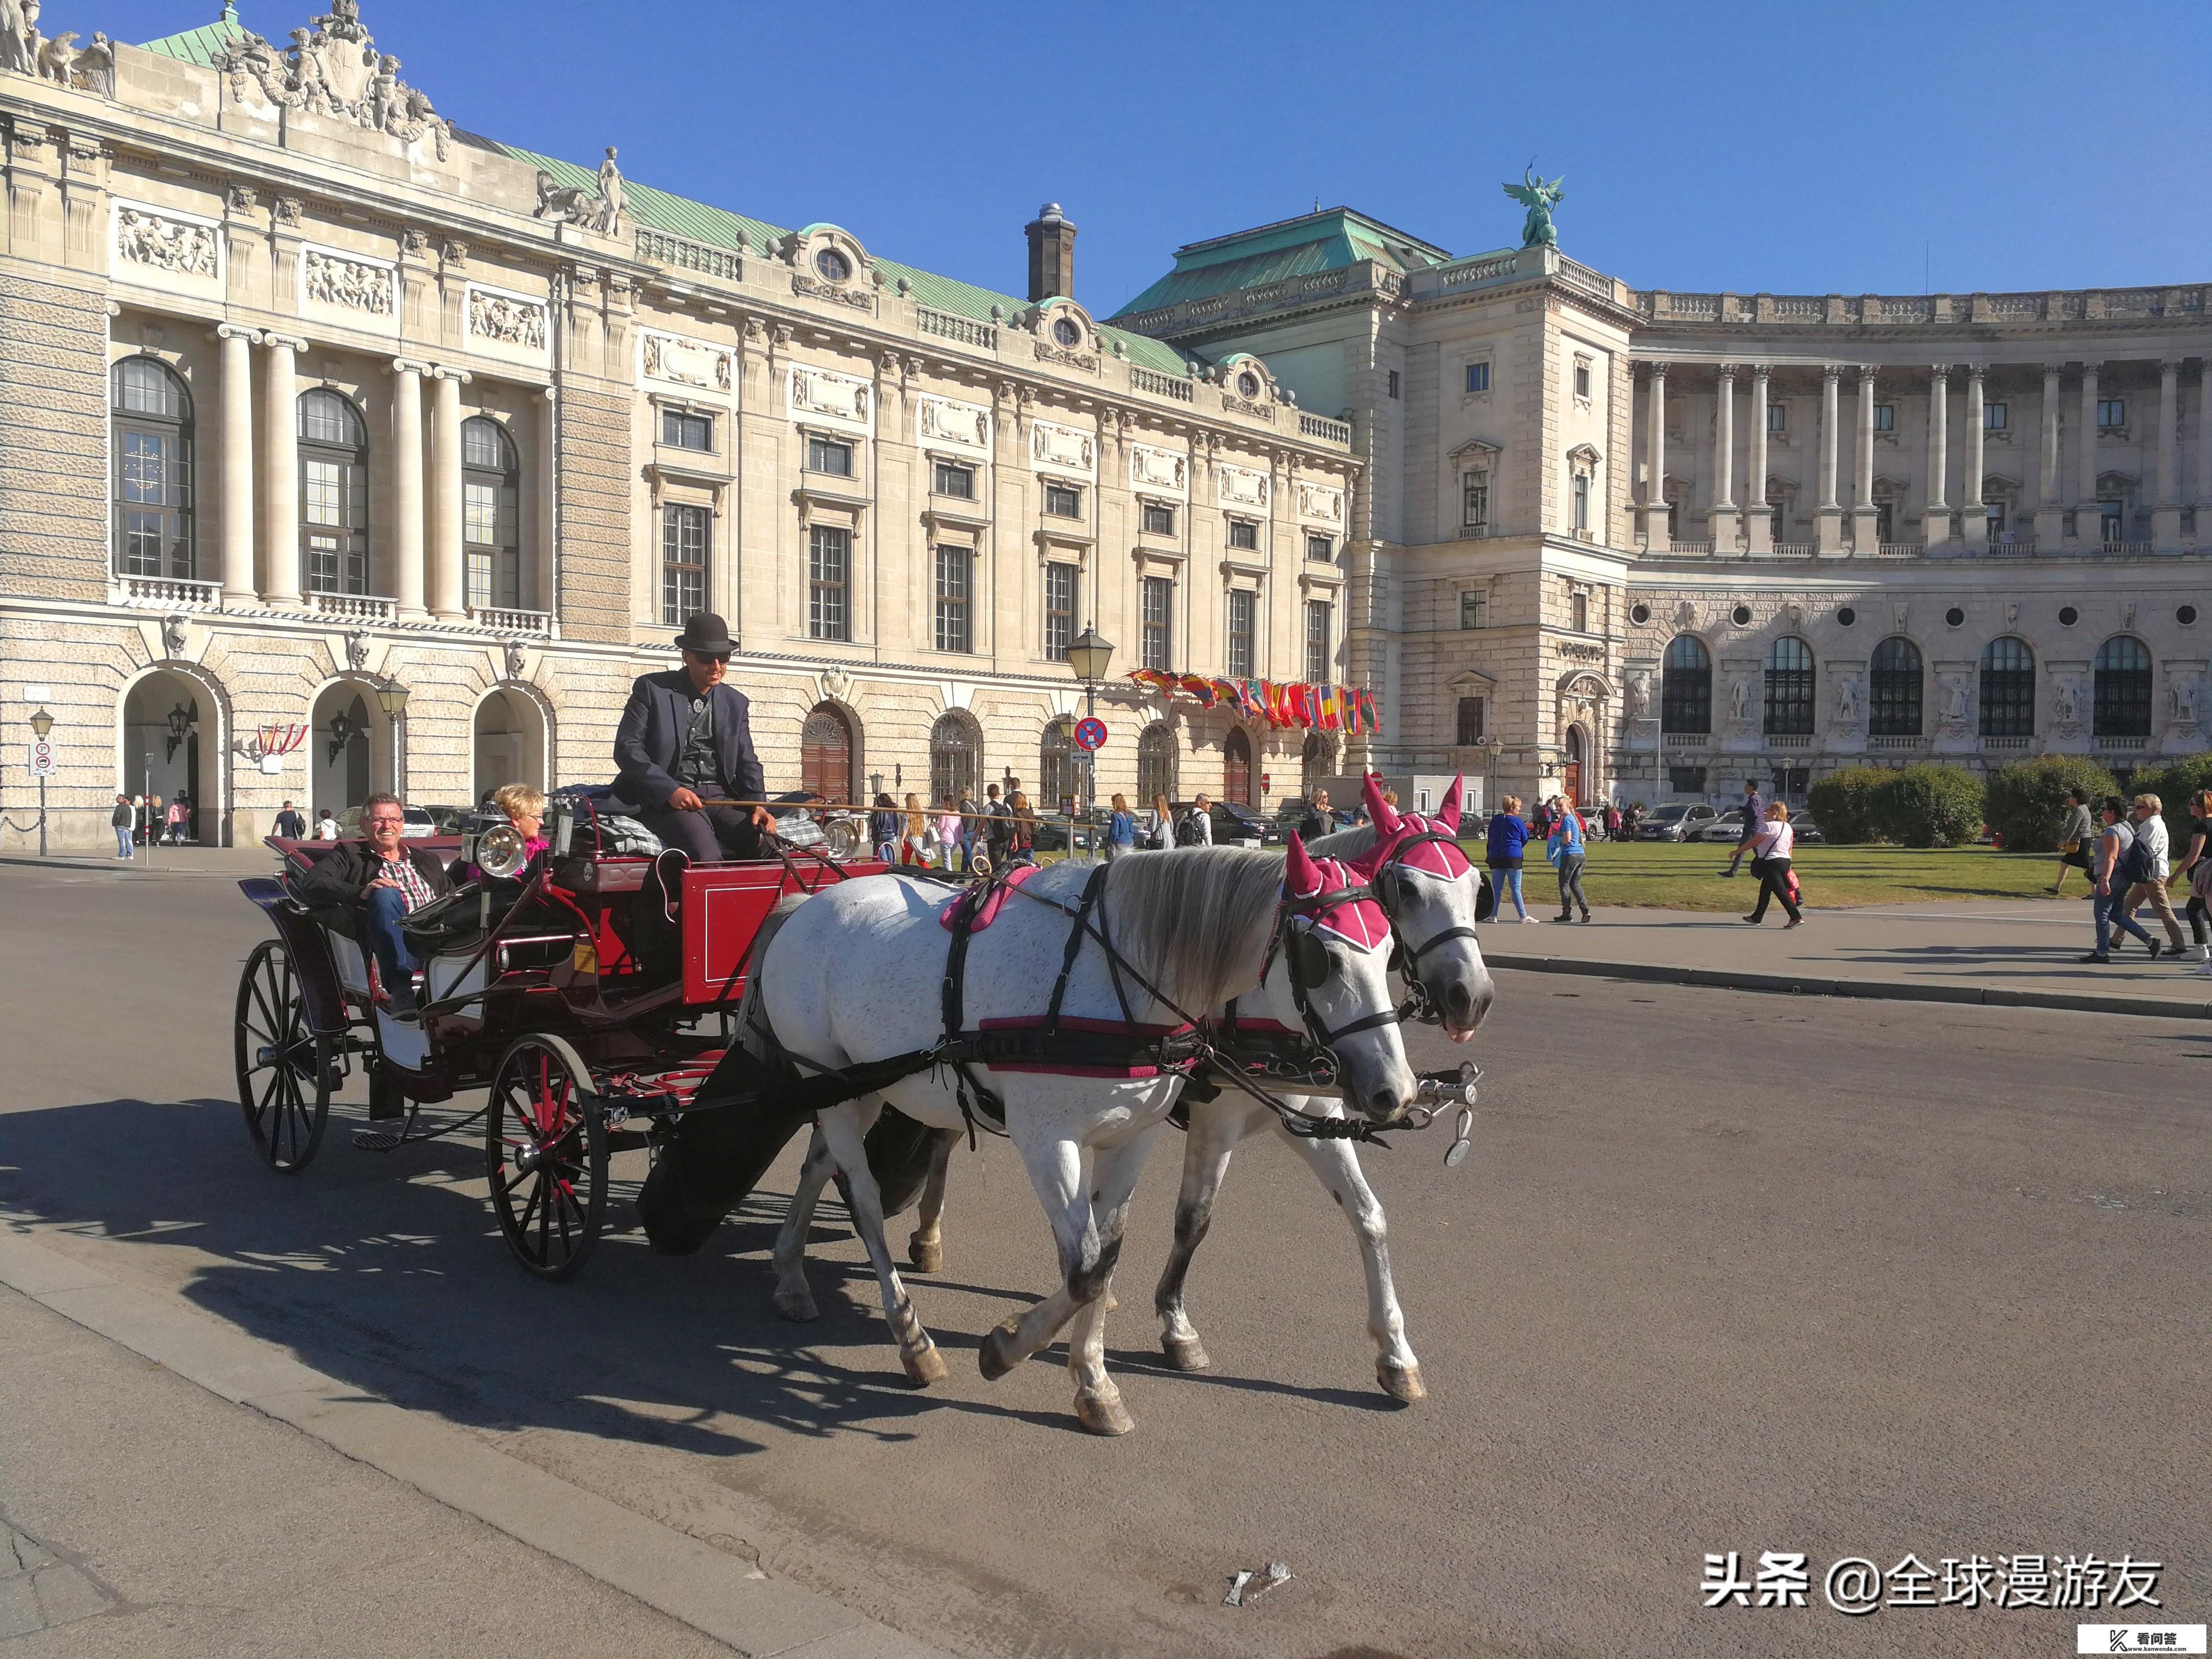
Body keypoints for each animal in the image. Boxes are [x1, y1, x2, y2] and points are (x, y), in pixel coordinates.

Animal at [760, 836, 1406, 1433]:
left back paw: (791, 1275)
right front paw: (1010, 1349)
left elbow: (1109, 1253)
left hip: (859, 1089)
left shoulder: (1138, 1136)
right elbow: (1091, 1267)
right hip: (834, 1085)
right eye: (1324, 957)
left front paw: (1093, 1381)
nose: (1394, 1091)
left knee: (818, 1164)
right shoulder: (1053, 1140)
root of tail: (805, 905)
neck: (1113, 975)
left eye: (1388, 953)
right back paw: (911, 1338)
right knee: (864, 1202)